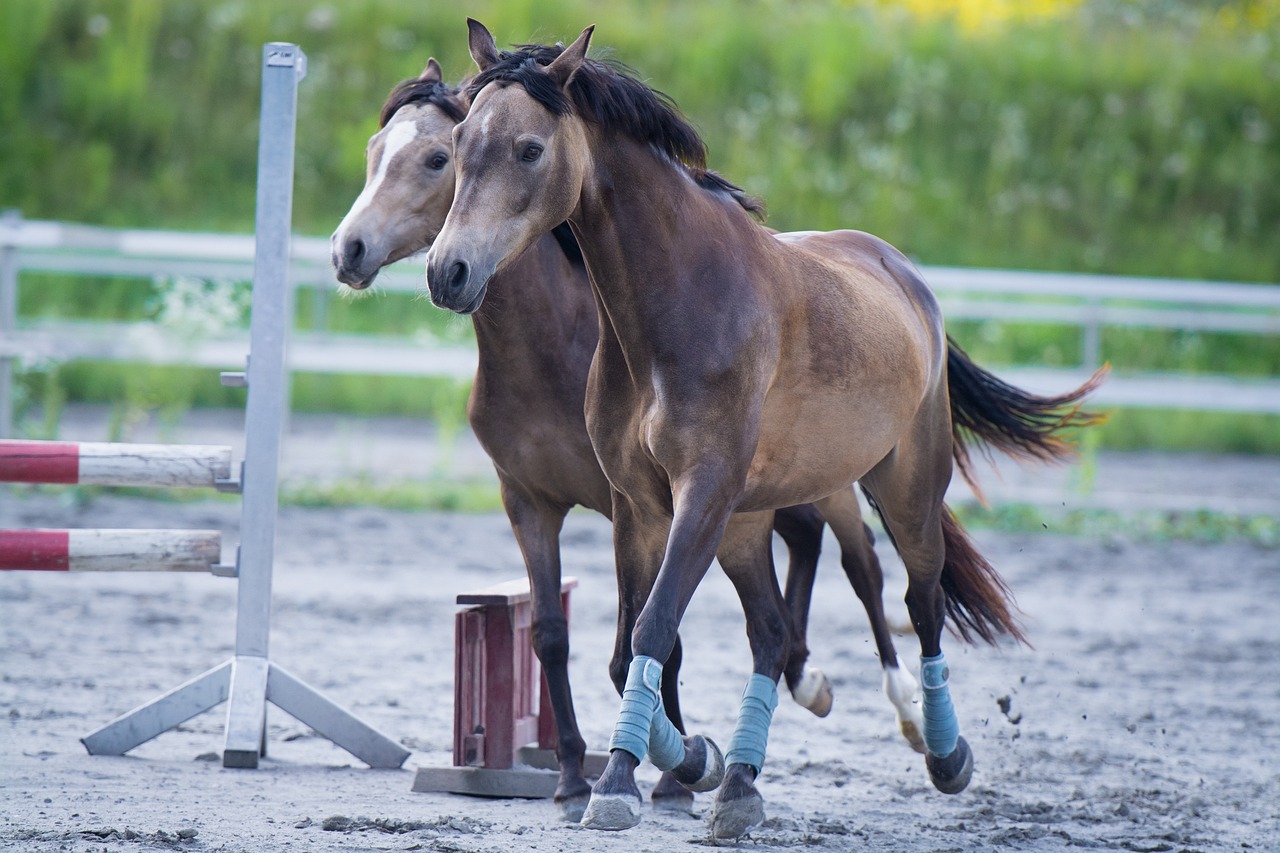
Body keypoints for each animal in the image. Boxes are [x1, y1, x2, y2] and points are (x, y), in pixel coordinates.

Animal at [330, 59, 926, 819]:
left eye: (434, 156)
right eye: (377, 150)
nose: (349, 249)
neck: (551, 345)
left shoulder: (639, 504)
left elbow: (655, 641)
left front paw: (671, 775)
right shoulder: (529, 500)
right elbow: (552, 635)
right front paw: (572, 775)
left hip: (834, 478)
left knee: (862, 562)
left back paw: (898, 708)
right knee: (801, 548)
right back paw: (795, 674)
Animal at [424, 21, 1105, 835]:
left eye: (529, 149)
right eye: (456, 143)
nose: (448, 272)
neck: (676, 305)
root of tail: (905, 274)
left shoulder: (703, 493)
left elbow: (654, 628)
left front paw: (622, 779)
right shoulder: (639, 504)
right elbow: (628, 648)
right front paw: (691, 759)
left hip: (901, 489)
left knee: (917, 600)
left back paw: (943, 752)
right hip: (749, 523)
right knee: (772, 632)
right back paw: (741, 781)